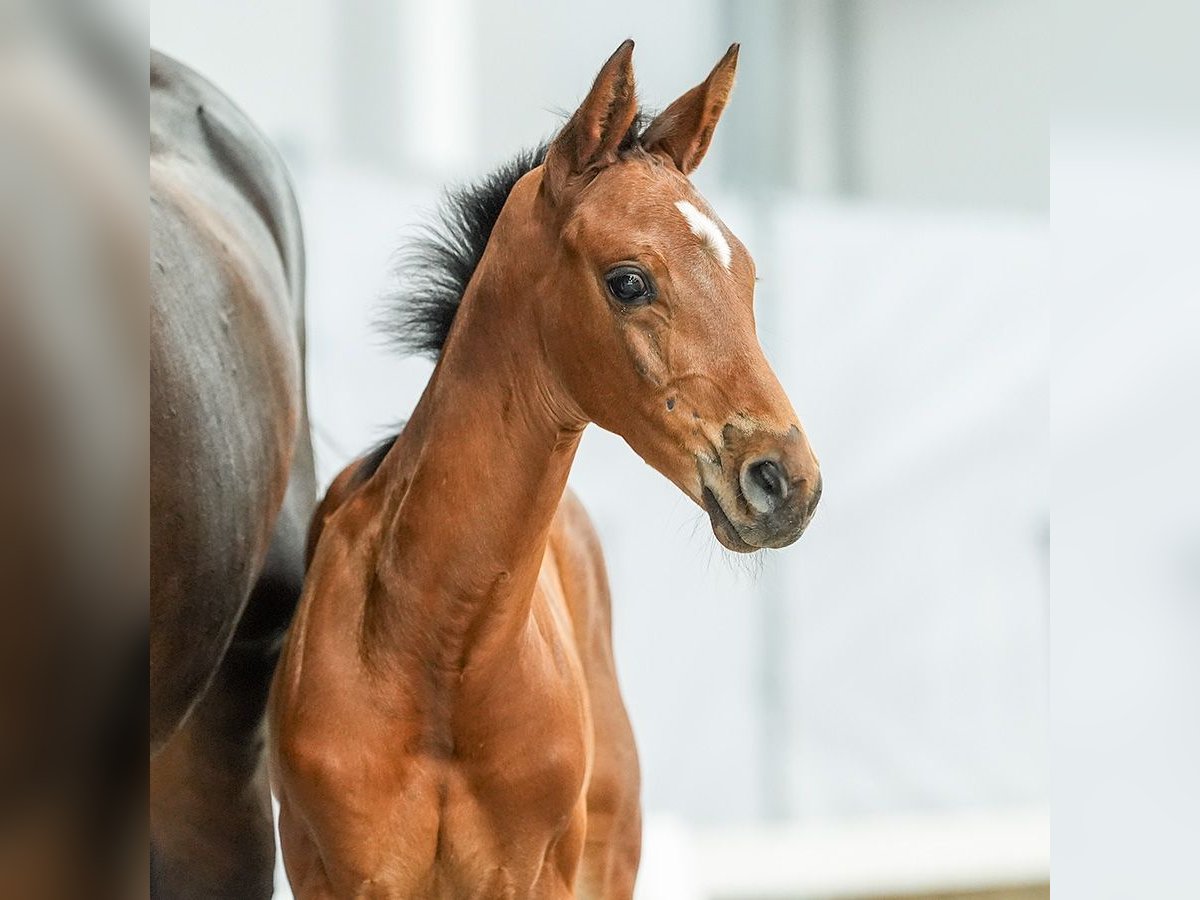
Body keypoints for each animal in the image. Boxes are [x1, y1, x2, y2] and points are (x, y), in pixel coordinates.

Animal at [272, 44, 820, 900]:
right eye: (628, 279)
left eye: (748, 278)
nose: (785, 480)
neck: (438, 652)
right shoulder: (338, 876)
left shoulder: (532, 875)